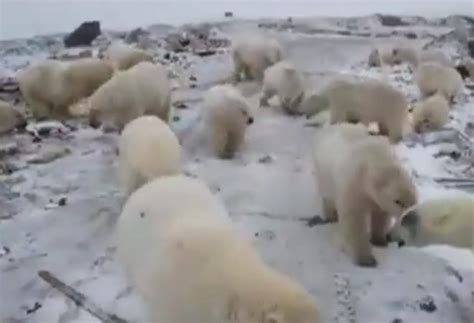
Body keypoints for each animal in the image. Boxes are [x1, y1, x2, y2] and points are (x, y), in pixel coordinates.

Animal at [312, 123, 418, 266]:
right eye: (398, 201)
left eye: (414, 201)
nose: (407, 218)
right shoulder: (354, 186)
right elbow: (355, 220)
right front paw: (366, 259)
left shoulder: (377, 199)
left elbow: (380, 216)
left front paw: (379, 240)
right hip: (324, 173)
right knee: (328, 196)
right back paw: (331, 216)